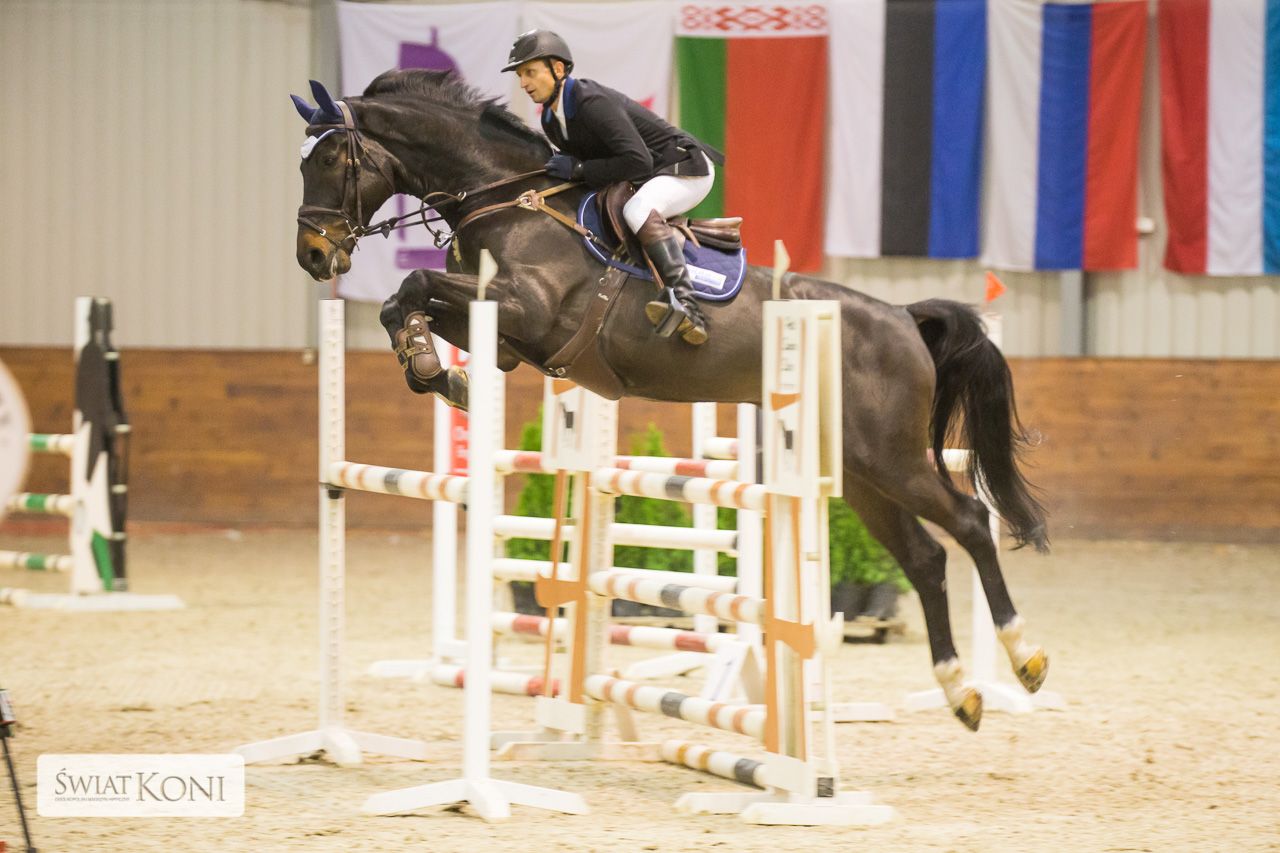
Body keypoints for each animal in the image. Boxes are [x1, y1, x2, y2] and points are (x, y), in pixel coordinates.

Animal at [290, 70, 1051, 730]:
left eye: (329, 157)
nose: (313, 257)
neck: (504, 197)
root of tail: (900, 316)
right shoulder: (504, 333)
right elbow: (402, 302)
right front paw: (435, 370)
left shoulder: (524, 308)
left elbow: (414, 286)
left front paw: (435, 370)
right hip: (860, 470)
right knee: (924, 557)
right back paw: (960, 692)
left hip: (892, 457)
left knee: (970, 521)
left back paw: (1025, 658)